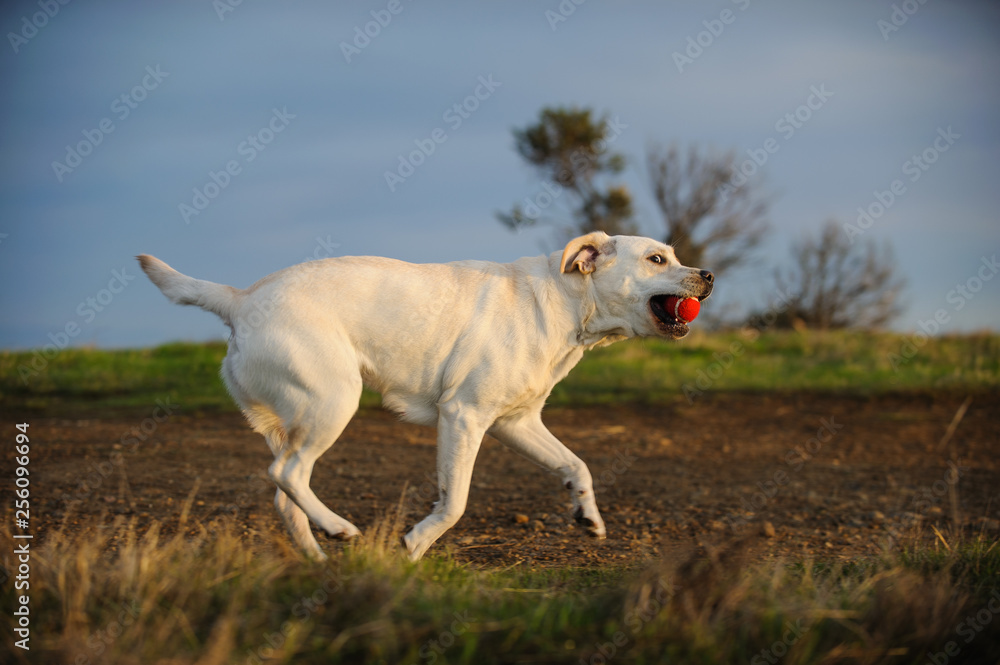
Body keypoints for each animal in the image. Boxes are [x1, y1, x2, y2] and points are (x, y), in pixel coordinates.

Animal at [141, 231, 716, 556]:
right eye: (657, 259)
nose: (709, 275)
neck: (565, 301)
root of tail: (240, 299)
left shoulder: (517, 423)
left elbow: (577, 465)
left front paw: (588, 516)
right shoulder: (463, 416)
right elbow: (455, 502)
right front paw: (415, 545)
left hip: (296, 421)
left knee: (285, 497)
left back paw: (320, 558)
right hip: (334, 402)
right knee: (287, 475)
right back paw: (341, 529)